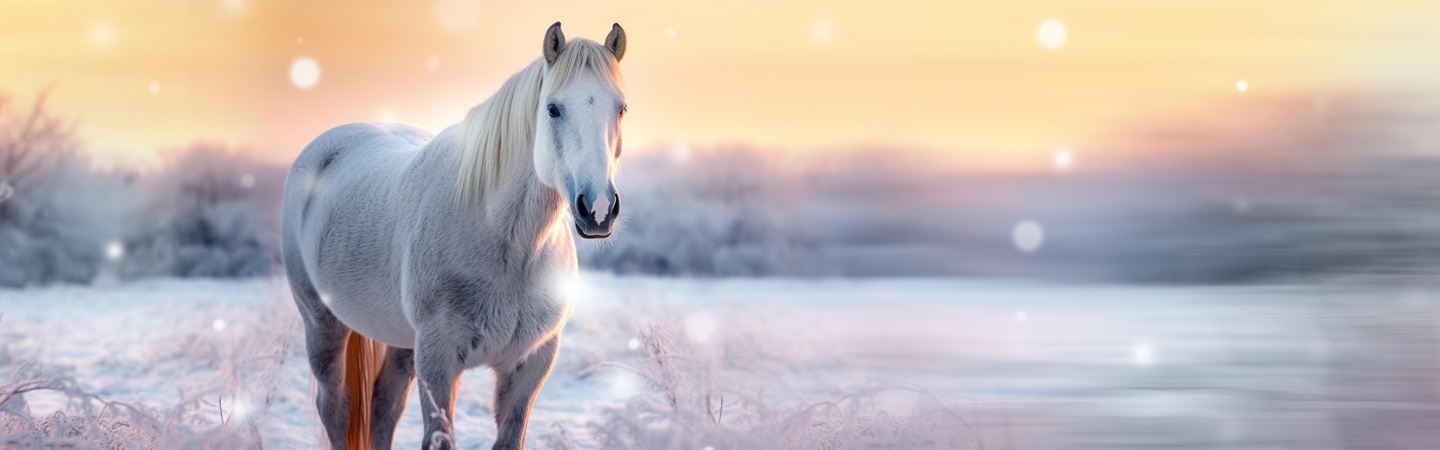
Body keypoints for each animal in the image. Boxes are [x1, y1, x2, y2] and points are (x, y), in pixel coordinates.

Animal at [280, 22, 628, 450]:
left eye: (620, 108)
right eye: (553, 108)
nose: (598, 208)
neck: (508, 247)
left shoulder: (531, 363)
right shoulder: (438, 358)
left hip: (401, 343)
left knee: (383, 407)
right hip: (322, 325)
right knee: (335, 408)